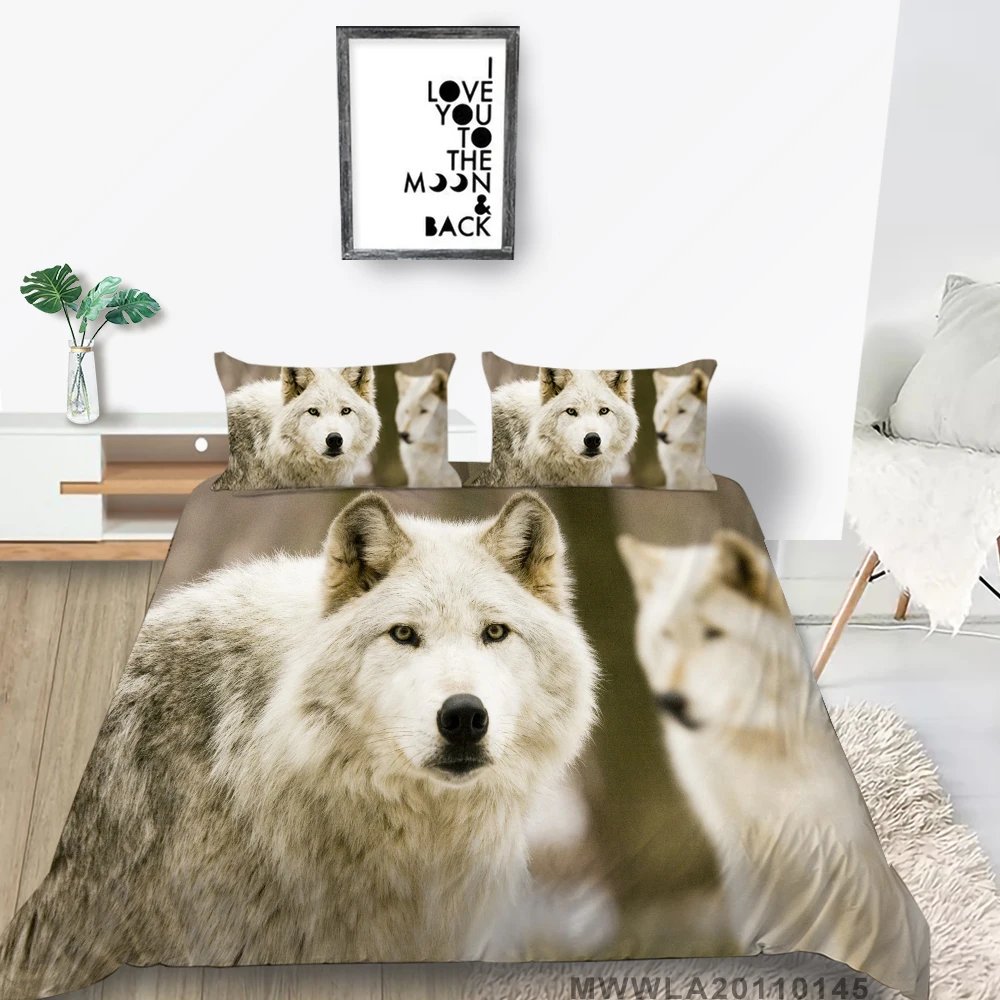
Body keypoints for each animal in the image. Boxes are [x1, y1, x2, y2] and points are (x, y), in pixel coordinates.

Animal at [616, 531, 925, 965]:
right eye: (666, 635)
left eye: (713, 633)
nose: (670, 702)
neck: (757, 744)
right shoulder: (741, 838)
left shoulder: (831, 847)